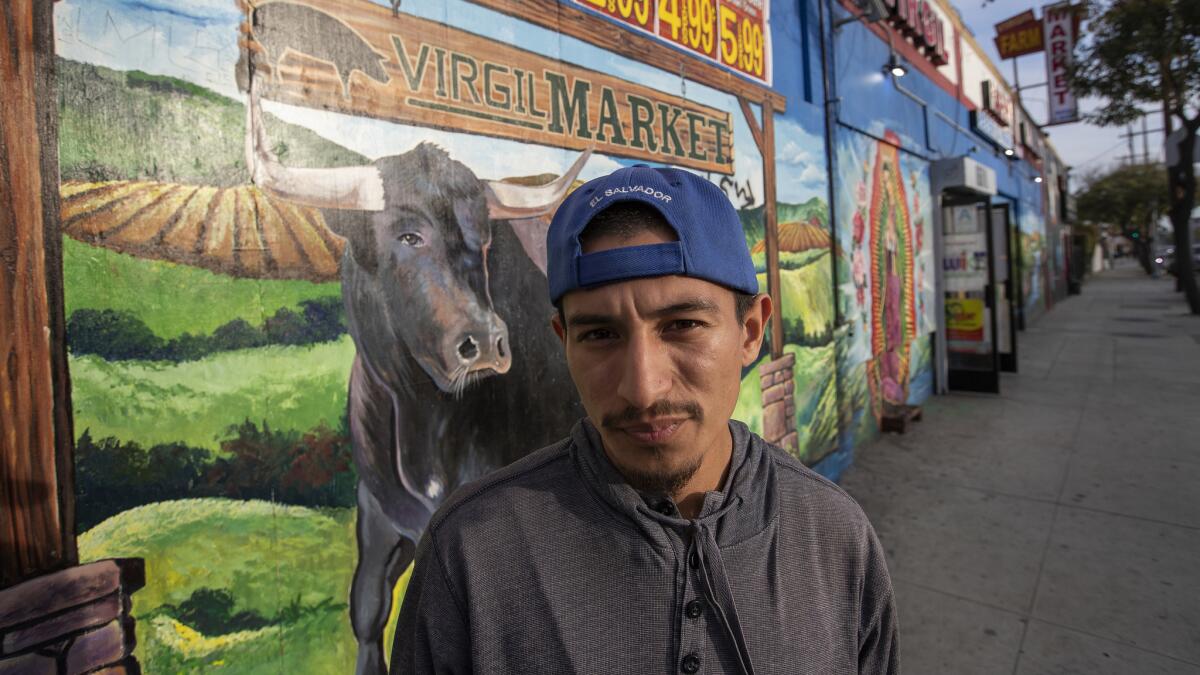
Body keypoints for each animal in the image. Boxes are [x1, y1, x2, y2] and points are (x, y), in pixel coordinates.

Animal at [242, 86, 585, 667]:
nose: (485, 342)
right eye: (407, 234)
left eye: (485, 241)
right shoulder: (376, 507)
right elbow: (368, 607)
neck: (423, 420)